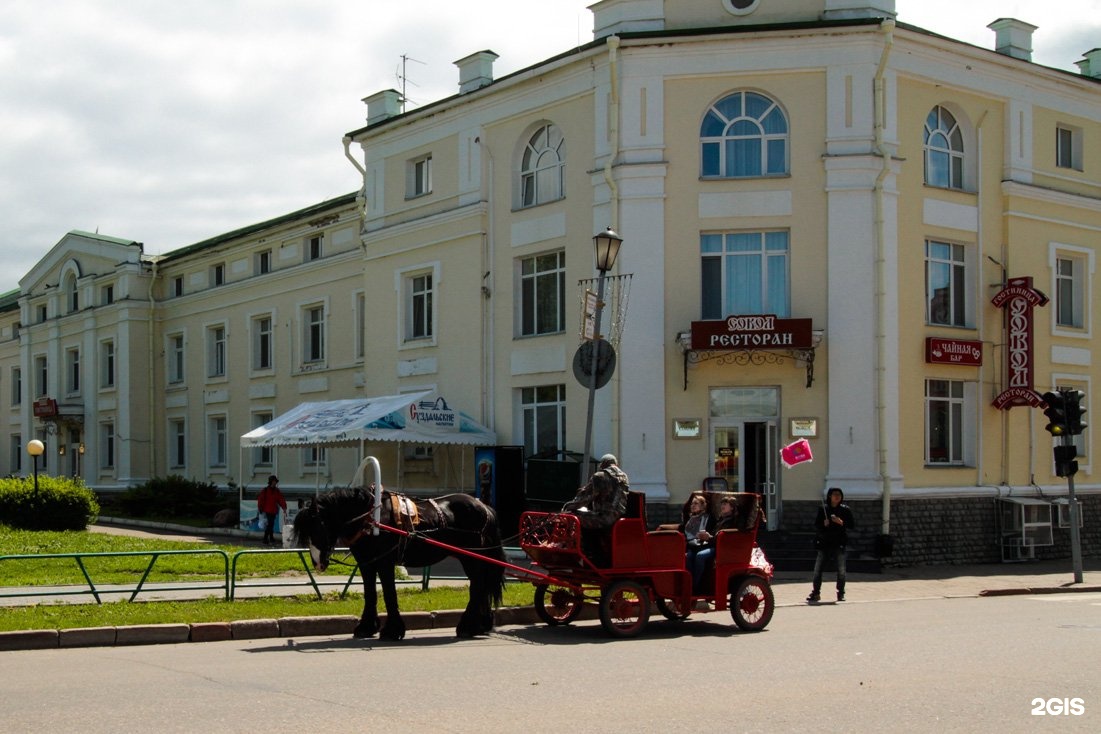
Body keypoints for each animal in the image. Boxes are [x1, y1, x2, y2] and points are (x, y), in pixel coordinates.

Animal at [288, 490, 504, 638]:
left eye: (317, 528)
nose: (317, 563)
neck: (371, 519)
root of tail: (484, 507)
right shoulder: (367, 564)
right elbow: (370, 594)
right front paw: (366, 627)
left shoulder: (385, 563)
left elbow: (389, 594)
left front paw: (392, 630)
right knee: (481, 585)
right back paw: (481, 624)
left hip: (471, 558)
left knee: (477, 586)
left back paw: (467, 626)